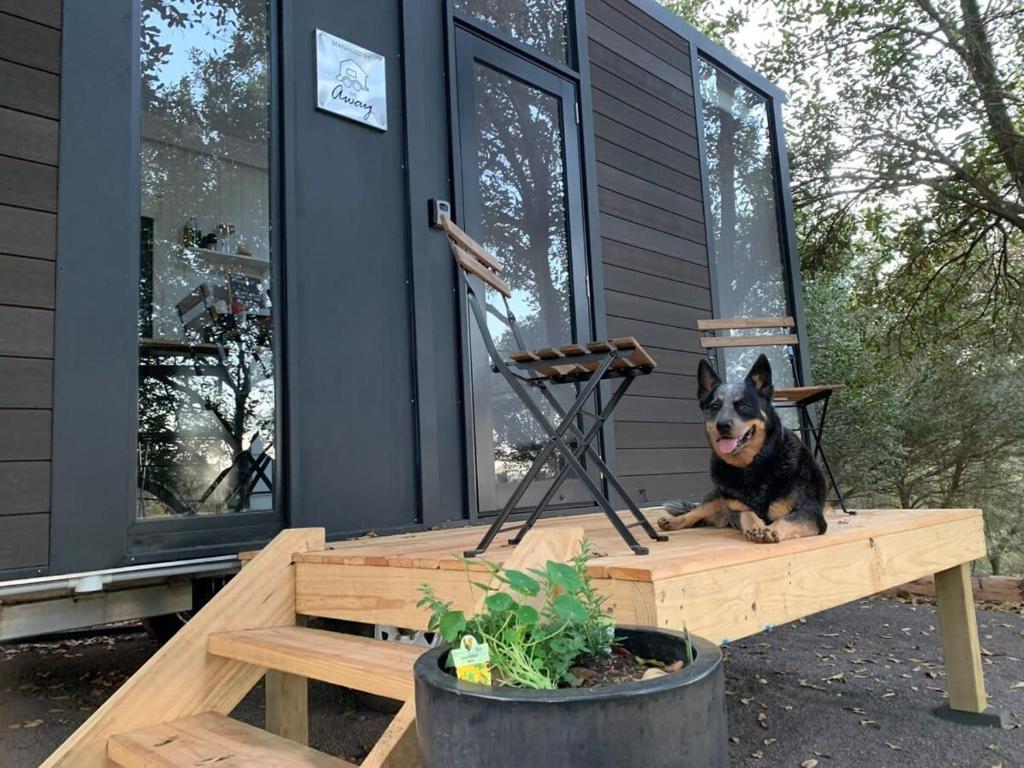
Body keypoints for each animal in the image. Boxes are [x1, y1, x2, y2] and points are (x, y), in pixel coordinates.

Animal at [655, 354, 831, 548]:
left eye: (743, 406)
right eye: (714, 406)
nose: (722, 425)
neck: (752, 466)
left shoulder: (811, 512)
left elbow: (787, 519)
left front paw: (771, 529)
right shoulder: (736, 511)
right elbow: (748, 514)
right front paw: (757, 527)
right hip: (716, 499)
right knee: (694, 513)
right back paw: (672, 521)